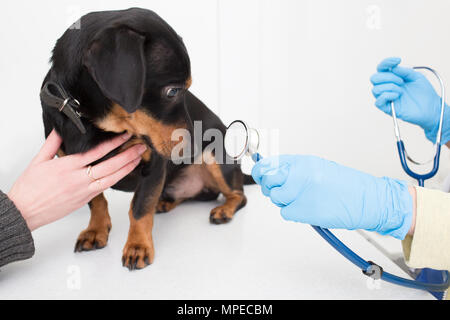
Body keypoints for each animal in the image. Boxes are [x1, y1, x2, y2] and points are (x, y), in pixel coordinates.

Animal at [40, 7, 255, 270]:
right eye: (172, 91)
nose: (196, 146)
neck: (96, 123)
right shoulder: (81, 172)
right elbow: (97, 201)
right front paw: (96, 231)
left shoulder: (154, 164)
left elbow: (140, 208)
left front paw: (137, 246)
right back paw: (165, 203)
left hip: (217, 161)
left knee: (239, 195)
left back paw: (224, 210)